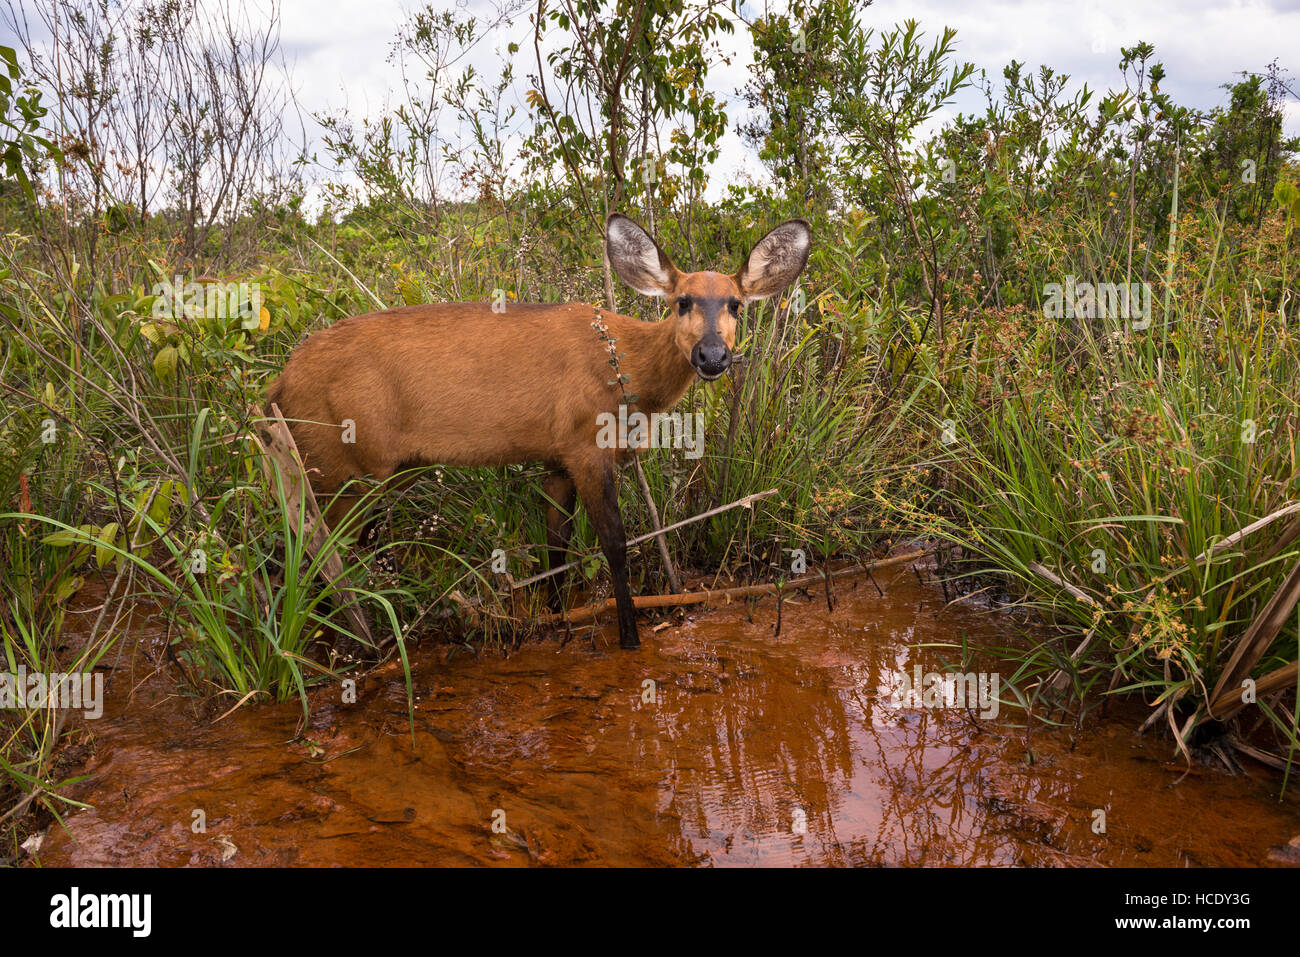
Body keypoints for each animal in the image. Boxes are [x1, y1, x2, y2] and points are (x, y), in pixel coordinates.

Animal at [265, 214, 811, 650]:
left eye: (736, 304)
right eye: (681, 301)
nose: (713, 356)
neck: (626, 372)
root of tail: (279, 384)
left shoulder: (556, 460)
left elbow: (557, 545)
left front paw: (558, 619)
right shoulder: (586, 445)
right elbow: (614, 542)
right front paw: (629, 638)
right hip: (339, 465)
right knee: (317, 553)